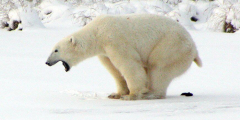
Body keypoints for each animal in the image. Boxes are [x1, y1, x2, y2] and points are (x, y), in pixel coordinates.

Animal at [46, 13, 202, 100]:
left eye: (56, 50)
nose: (47, 62)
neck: (97, 32)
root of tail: (194, 48)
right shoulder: (104, 52)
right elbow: (114, 70)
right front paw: (115, 94)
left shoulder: (115, 40)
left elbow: (129, 64)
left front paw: (131, 95)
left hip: (171, 46)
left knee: (159, 69)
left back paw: (150, 94)